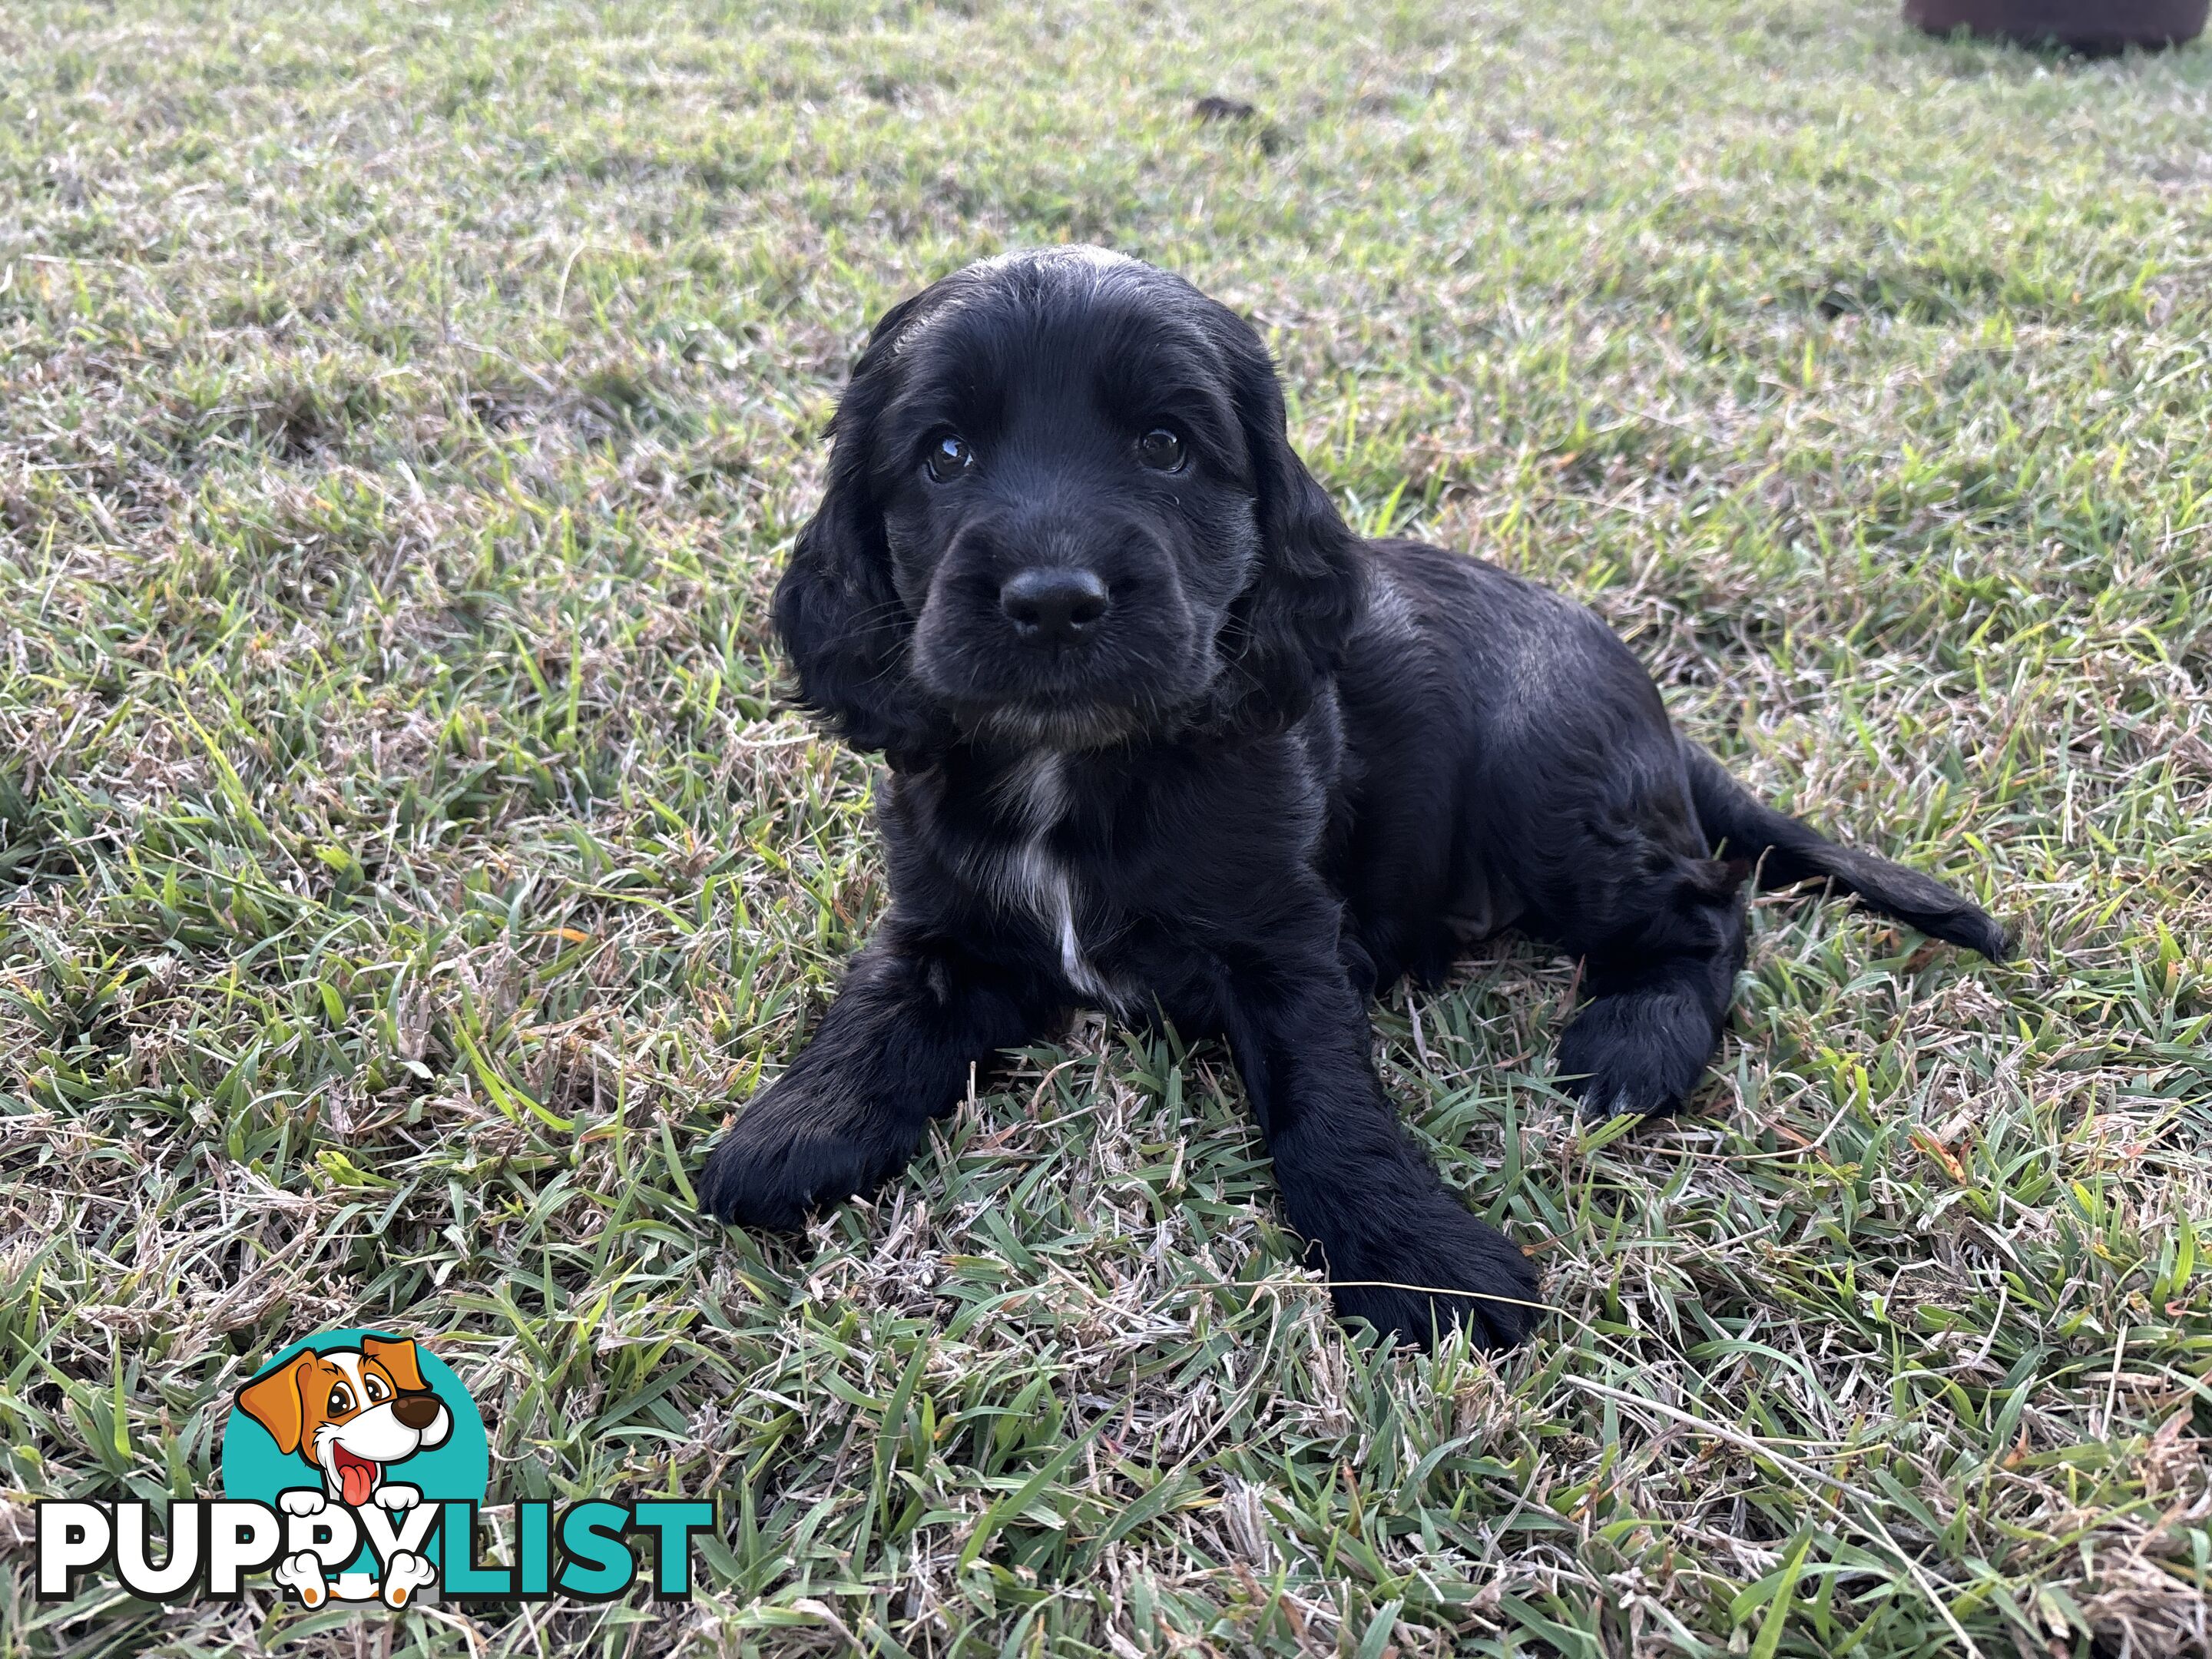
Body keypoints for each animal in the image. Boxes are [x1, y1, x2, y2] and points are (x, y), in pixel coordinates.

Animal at [703, 253, 2008, 1353]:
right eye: (944, 456)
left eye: (1166, 446)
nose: (1054, 600)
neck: (1074, 765)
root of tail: (1656, 717)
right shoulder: (945, 918)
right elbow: (880, 1010)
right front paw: (792, 1134)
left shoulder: (1286, 941)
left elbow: (1326, 1101)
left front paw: (1415, 1258)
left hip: (1547, 794)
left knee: (1709, 904)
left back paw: (1633, 1047)